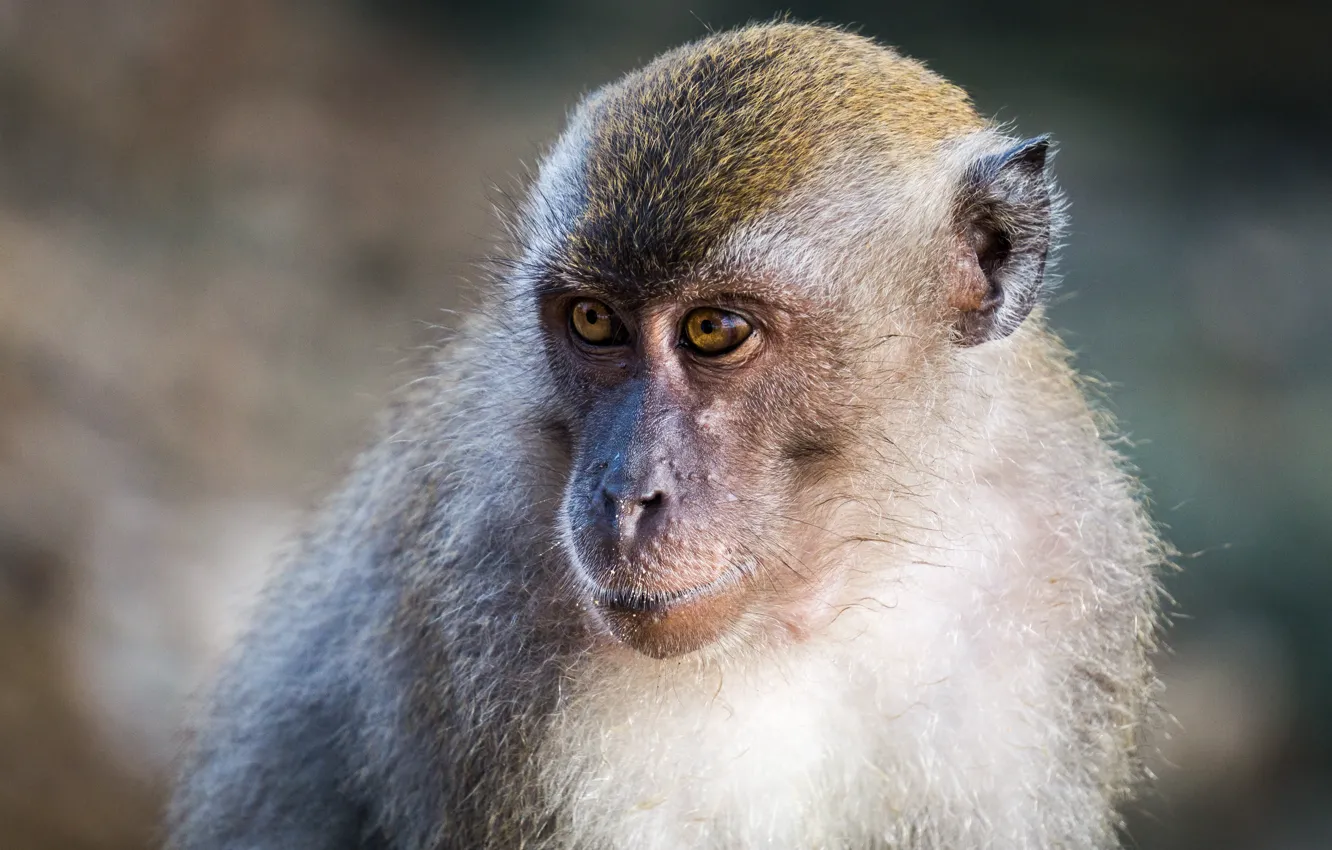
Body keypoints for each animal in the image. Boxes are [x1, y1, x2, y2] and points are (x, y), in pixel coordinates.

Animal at [168, 21, 1168, 850]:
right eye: (594, 321)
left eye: (714, 330)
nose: (625, 494)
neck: (824, 595)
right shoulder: (487, 587)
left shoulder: (1059, 566)